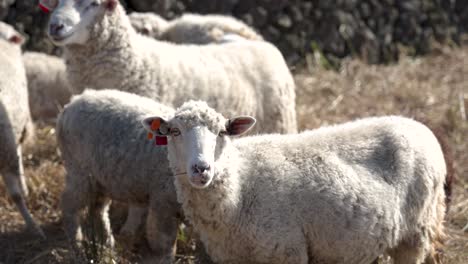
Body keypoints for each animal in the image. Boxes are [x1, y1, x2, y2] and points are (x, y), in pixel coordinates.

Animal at [40, 0, 296, 134]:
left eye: (94, 3)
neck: (134, 59)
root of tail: (262, 43)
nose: (55, 26)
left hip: (280, 123)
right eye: (57, 2)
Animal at [54, 89, 179, 262]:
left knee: (98, 210)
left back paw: (107, 245)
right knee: (69, 206)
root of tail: (72, 102)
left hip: (101, 179)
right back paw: (77, 247)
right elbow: (165, 247)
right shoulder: (164, 204)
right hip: (79, 171)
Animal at [142, 101, 446, 264]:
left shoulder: (286, 251)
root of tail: (419, 126)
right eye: (174, 132)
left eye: (221, 132)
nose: (202, 169)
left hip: (415, 233)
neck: (240, 188)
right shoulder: (232, 255)